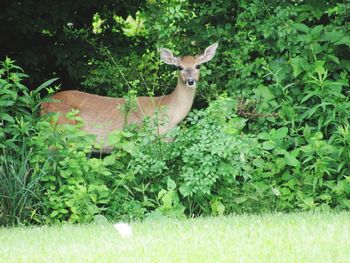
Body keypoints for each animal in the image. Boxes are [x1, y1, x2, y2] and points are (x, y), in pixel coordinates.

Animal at [41, 43, 219, 153]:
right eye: (179, 67)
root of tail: (43, 105)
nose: (190, 81)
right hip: (60, 132)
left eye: (198, 65)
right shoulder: (146, 139)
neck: (169, 111)